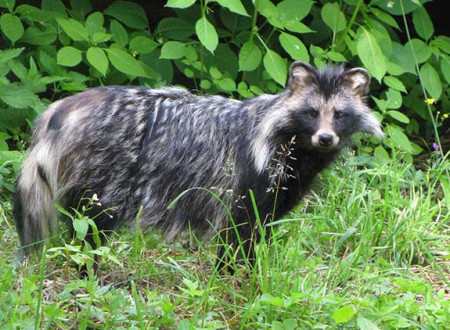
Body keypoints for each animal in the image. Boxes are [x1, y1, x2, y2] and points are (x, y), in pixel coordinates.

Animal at [14, 61, 382, 268]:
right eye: (311, 113)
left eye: (339, 114)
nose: (326, 138)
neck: (299, 147)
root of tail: (61, 110)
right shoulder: (248, 180)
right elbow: (238, 236)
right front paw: (233, 278)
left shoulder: (278, 192)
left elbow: (258, 231)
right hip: (105, 172)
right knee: (90, 228)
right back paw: (87, 269)